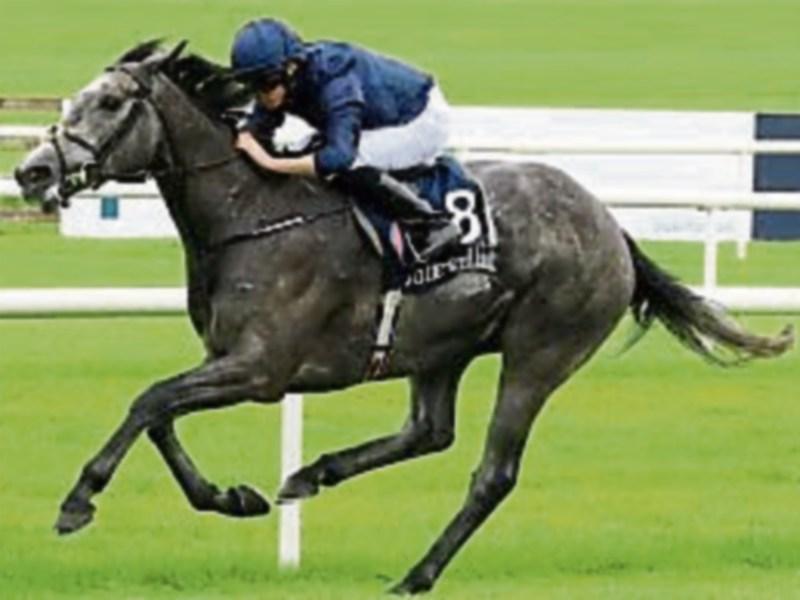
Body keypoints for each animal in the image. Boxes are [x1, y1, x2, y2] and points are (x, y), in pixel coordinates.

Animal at [14, 41, 794, 594]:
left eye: (112, 101)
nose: (32, 172)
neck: (254, 215)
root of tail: (609, 225)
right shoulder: (227, 361)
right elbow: (160, 415)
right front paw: (232, 497)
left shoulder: (261, 370)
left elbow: (149, 401)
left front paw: (78, 501)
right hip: (441, 347)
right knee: (429, 431)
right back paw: (313, 474)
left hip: (539, 353)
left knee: (492, 472)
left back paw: (414, 576)